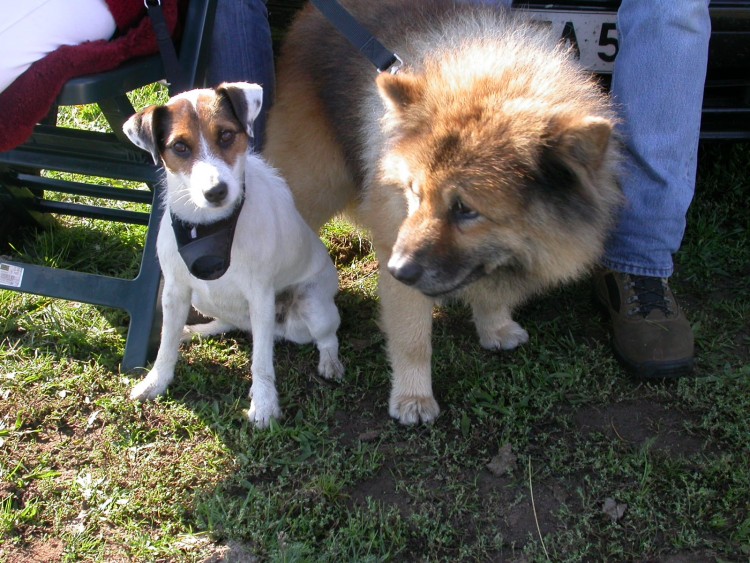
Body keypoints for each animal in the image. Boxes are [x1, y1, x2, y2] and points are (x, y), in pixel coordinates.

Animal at [124, 82, 346, 428]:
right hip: (201, 299)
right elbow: (165, 345)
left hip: (312, 304)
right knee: (232, 323)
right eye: (180, 147)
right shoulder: (175, 290)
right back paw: (196, 330)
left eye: (226, 135)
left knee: (324, 337)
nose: (216, 191)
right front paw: (156, 382)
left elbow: (262, 363)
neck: (208, 227)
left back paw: (329, 362)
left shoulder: (260, 295)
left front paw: (264, 404)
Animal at [264, 0, 624, 424]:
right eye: (415, 192)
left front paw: (495, 326)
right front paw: (413, 397)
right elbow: (412, 336)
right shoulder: (398, 246)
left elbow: (488, 293)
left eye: (465, 209)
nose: (398, 269)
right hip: (314, 184)